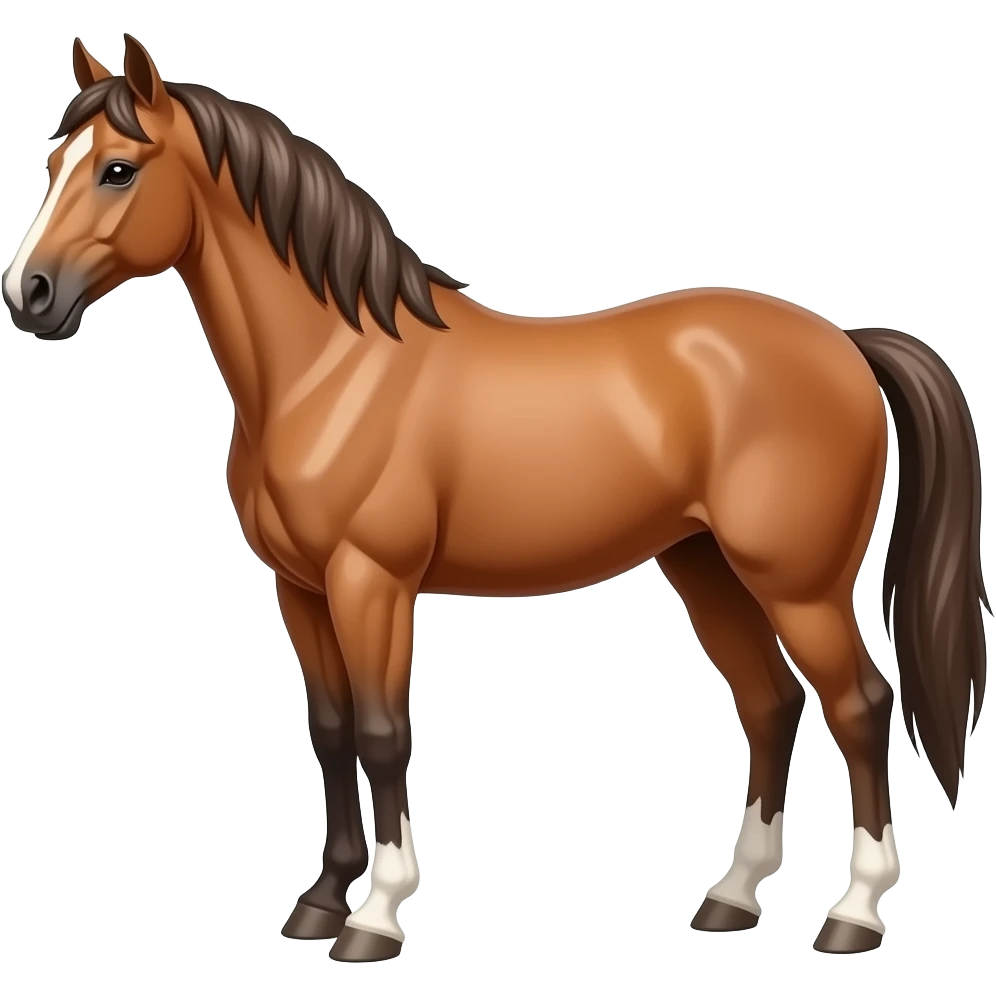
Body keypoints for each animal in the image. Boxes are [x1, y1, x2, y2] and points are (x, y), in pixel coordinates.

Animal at [3, 34, 988, 962]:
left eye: (118, 168)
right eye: (54, 163)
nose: (29, 294)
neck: (333, 366)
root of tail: (845, 342)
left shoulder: (372, 582)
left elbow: (381, 733)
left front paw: (377, 917)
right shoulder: (301, 587)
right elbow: (330, 730)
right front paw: (319, 902)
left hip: (798, 585)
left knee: (860, 707)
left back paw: (853, 913)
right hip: (704, 566)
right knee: (770, 704)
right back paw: (732, 899)